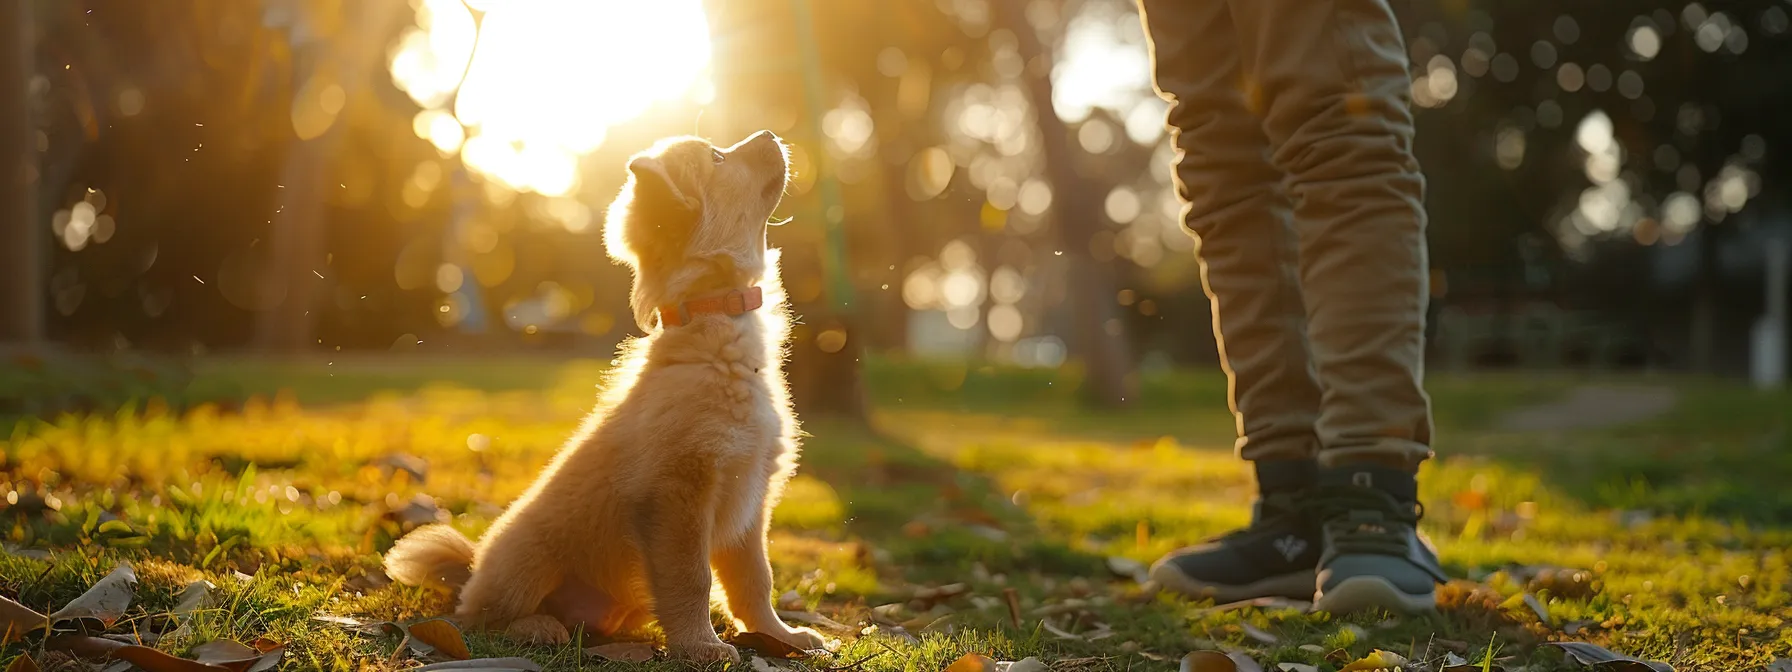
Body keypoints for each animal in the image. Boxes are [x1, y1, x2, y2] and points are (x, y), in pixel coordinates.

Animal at [388, 129, 820, 663]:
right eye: (718, 157)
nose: (769, 134)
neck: (716, 328)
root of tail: (470, 568)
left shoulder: (752, 497)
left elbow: (755, 580)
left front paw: (779, 635)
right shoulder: (678, 493)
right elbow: (691, 579)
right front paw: (700, 645)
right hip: (527, 558)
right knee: (482, 616)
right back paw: (537, 626)